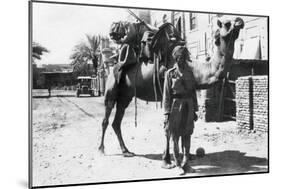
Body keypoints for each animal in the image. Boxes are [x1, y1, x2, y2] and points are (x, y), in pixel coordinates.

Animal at [98, 17, 243, 161]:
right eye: (227, 23)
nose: (239, 21)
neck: (196, 69)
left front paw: (187, 155)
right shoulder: (167, 93)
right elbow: (169, 125)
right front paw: (168, 156)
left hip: (125, 96)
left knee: (116, 122)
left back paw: (126, 151)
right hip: (111, 90)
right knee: (106, 118)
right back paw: (101, 149)